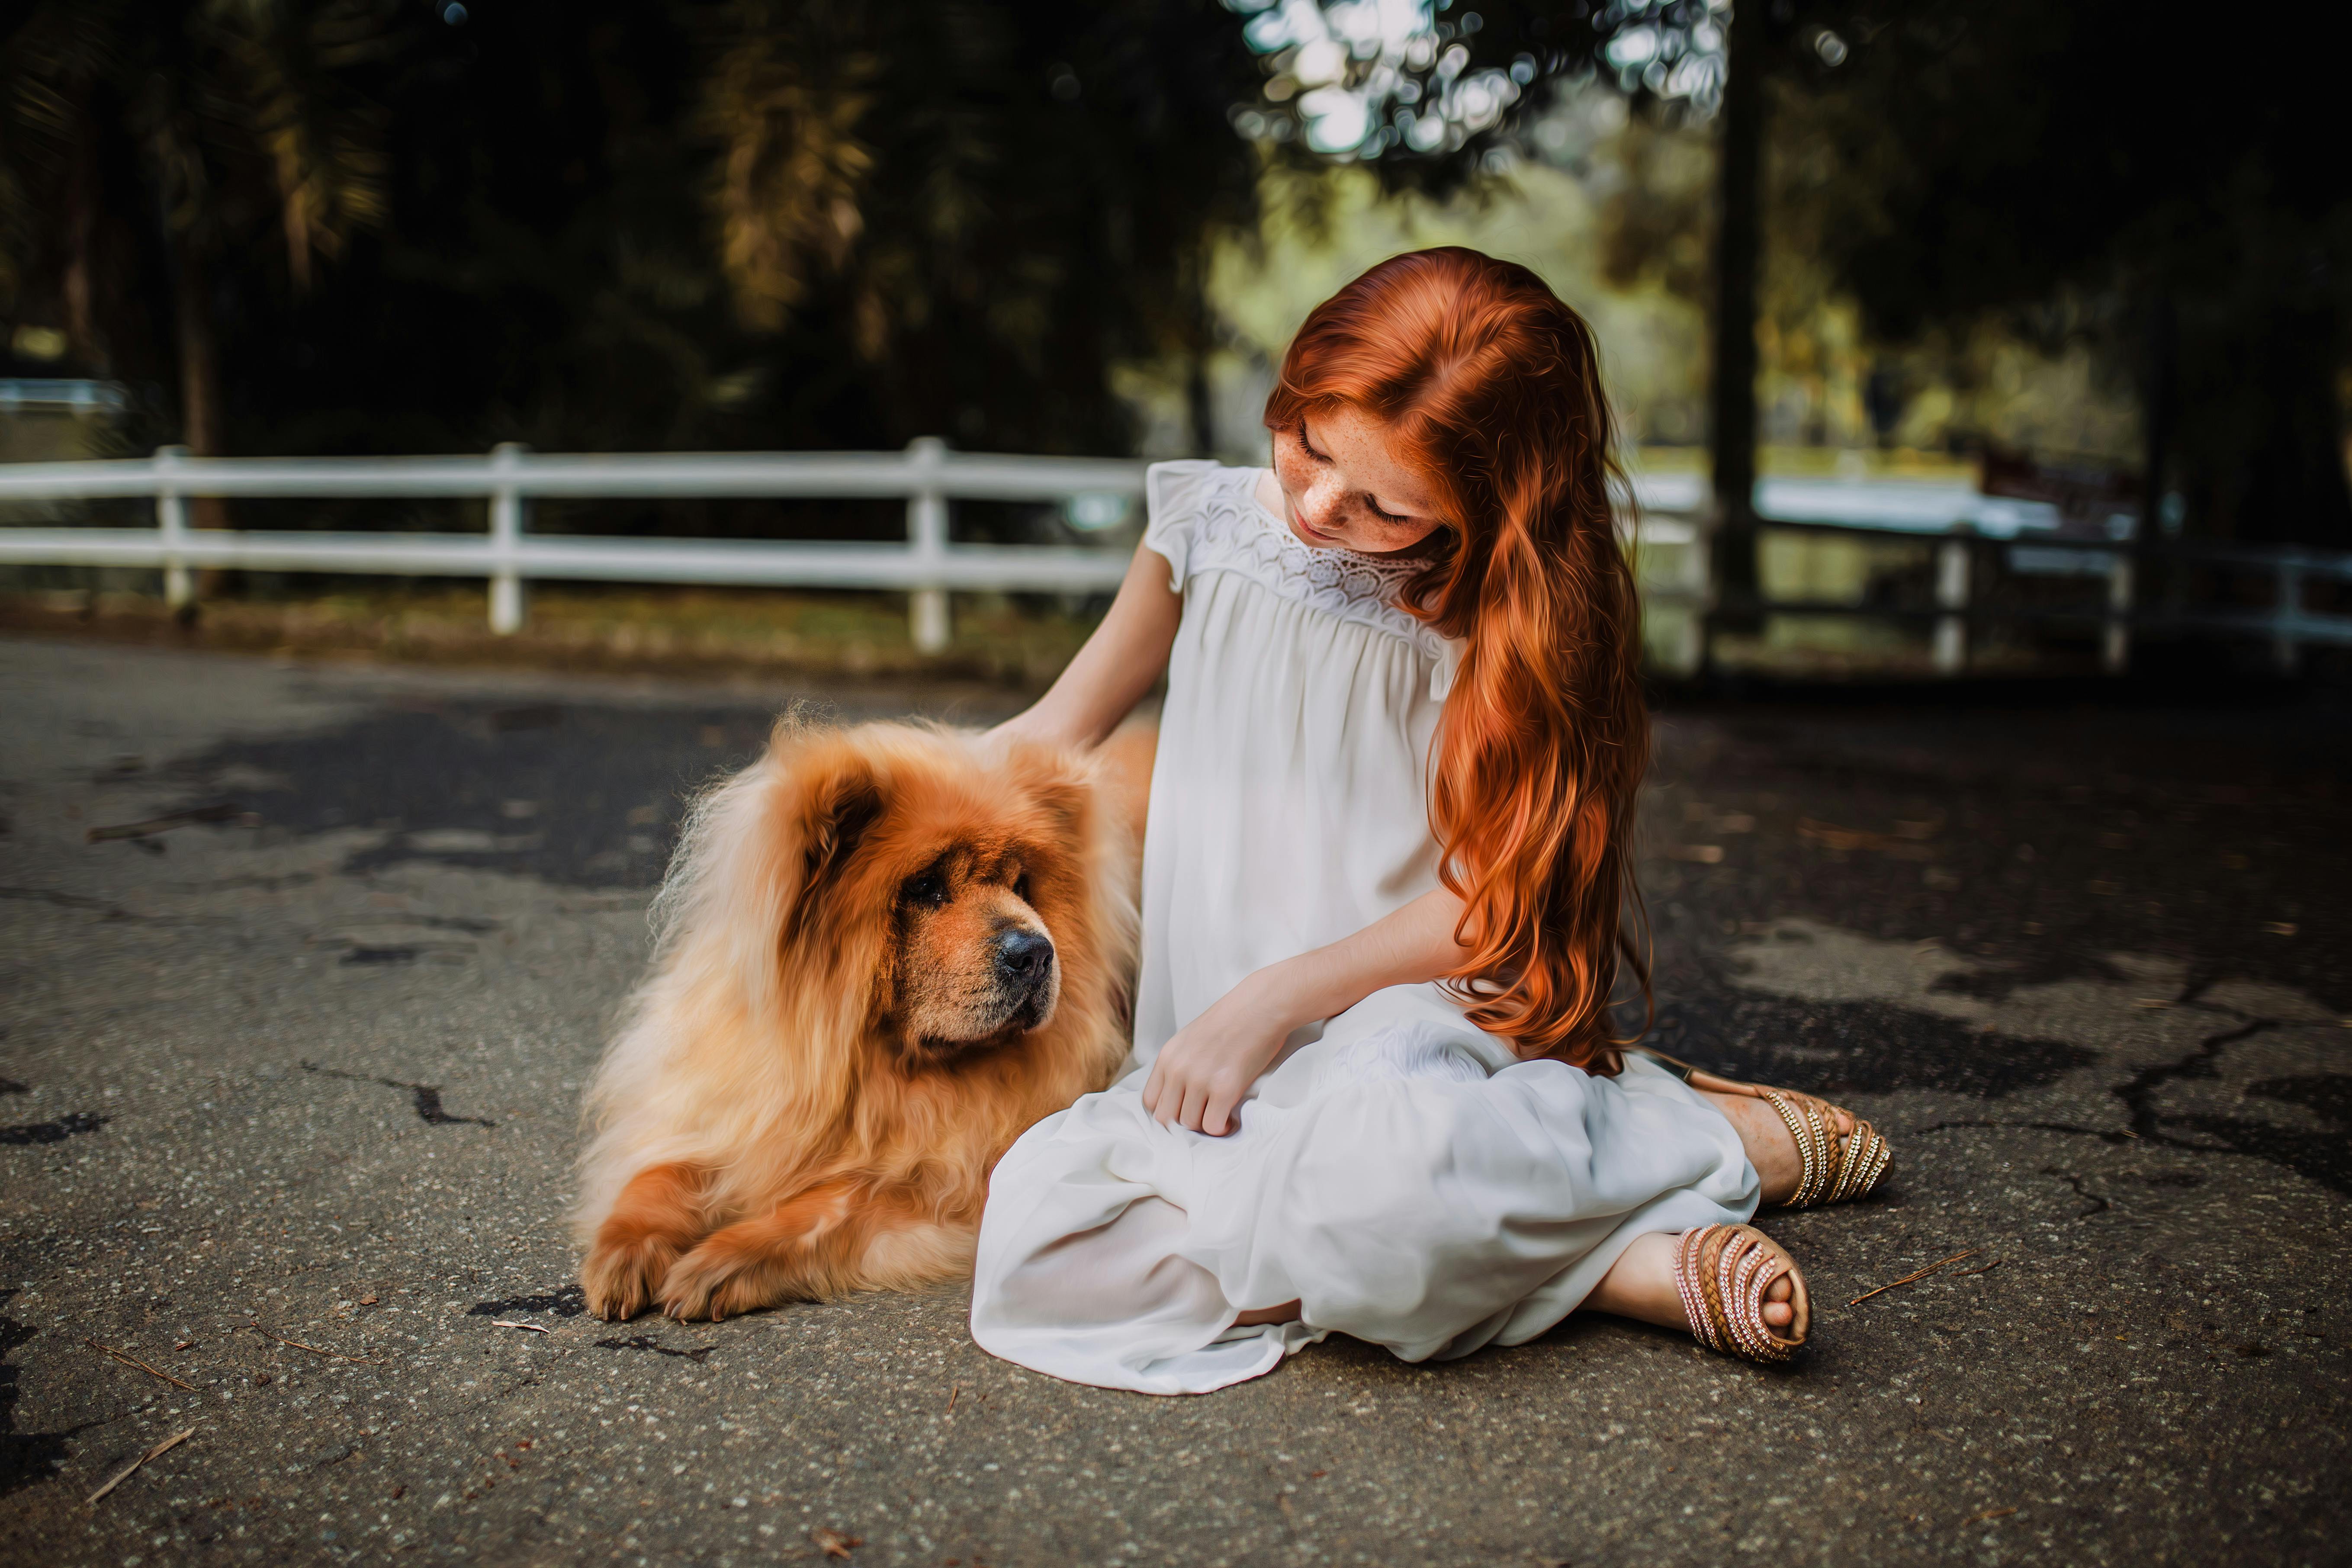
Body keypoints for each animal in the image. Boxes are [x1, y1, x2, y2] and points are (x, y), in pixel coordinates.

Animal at [578, 719, 1147, 1316]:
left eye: (1021, 887)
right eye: (926, 887)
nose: (1036, 952)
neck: (875, 1069)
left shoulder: (948, 1186)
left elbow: (834, 1205)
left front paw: (720, 1262)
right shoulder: (727, 1107)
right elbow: (659, 1173)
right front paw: (623, 1253)